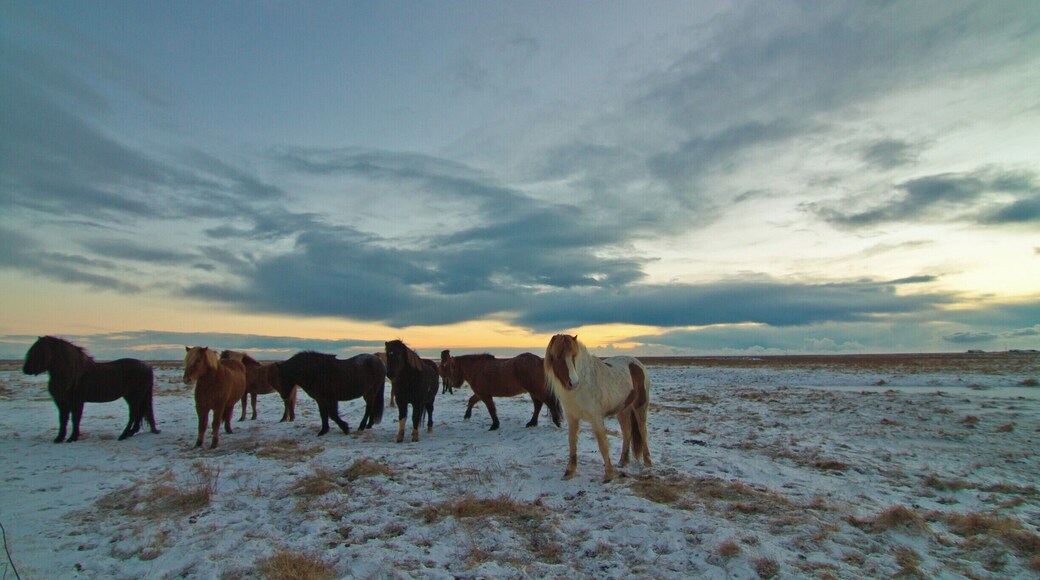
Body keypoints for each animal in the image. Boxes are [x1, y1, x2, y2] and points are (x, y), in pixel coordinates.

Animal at [22, 336, 159, 443]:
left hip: (134, 396)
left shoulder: (76, 402)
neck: (71, 374)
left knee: (134, 414)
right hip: (134, 397)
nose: (26, 369)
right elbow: (63, 419)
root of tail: (147, 366)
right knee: (138, 413)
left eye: (39, 351)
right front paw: (59, 438)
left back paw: (123, 435)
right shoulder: (62, 402)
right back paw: (130, 433)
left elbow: (75, 419)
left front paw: (72, 438)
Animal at [544, 335, 651, 482]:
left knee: (642, 430)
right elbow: (572, 443)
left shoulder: (596, 418)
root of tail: (638, 364)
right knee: (627, 431)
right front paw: (569, 472)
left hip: (640, 406)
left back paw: (648, 462)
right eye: (558, 356)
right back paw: (622, 461)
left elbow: (603, 444)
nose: (573, 382)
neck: (582, 385)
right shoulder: (572, 418)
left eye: (574, 355)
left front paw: (608, 475)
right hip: (623, 410)